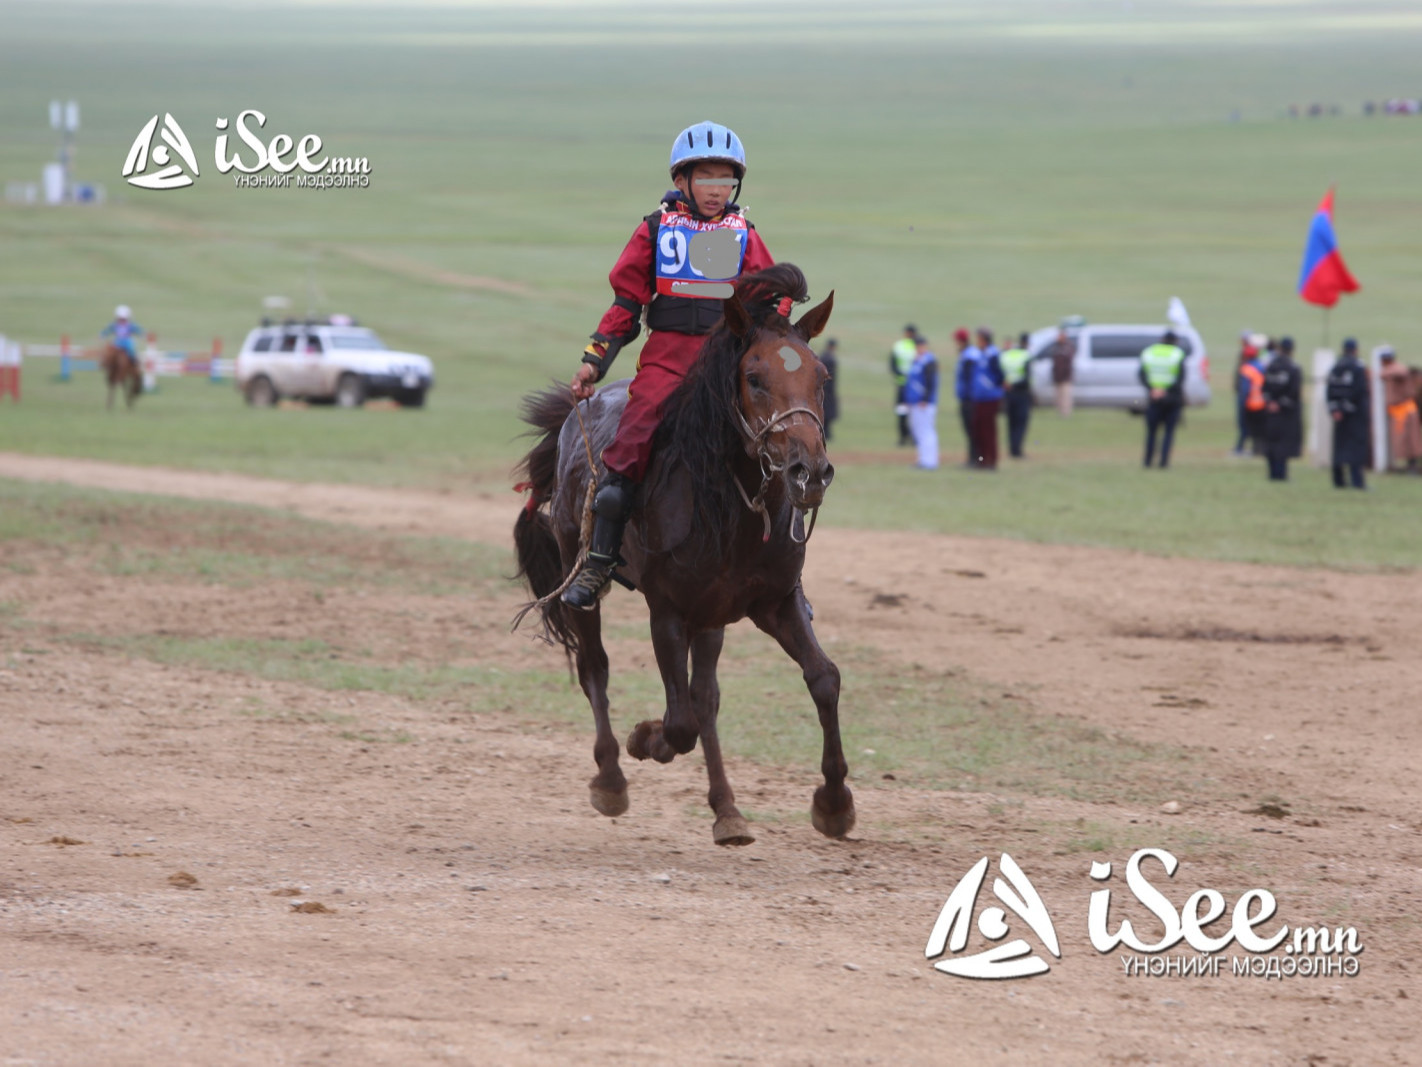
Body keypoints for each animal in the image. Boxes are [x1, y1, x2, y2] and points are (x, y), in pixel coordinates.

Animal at [511, 263, 847, 847]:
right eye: (754, 378)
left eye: (822, 378)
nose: (810, 471)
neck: (729, 503)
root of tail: (577, 415)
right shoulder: (666, 611)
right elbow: (678, 722)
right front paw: (643, 738)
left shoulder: (776, 603)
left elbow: (822, 679)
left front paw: (834, 802)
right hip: (587, 582)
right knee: (596, 669)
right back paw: (611, 778)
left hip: (711, 618)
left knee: (705, 698)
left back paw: (727, 811)